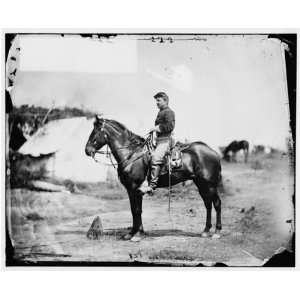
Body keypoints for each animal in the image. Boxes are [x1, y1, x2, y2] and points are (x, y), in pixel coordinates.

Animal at [84, 116, 223, 243]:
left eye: (96, 131)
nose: (87, 150)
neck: (131, 154)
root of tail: (213, 152)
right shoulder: (131, 190)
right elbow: (134, 211)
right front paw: (133, 233)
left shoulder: (135, 188)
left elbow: (137, 210)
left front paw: (137, 234)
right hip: (201, 184)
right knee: (208, 204)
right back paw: (206, 231)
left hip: (210, 185)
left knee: (216, 203)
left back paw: (217, 232)